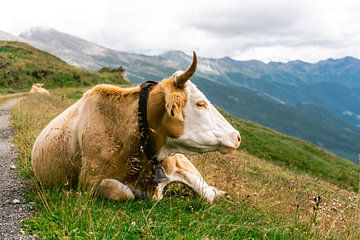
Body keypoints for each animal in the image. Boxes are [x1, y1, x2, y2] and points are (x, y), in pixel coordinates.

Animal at [31, 52, 242, 202]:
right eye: (200, 104)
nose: (237, 136)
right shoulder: (89, 181)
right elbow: (123, 192)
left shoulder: (178, 164)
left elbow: (207, 194)